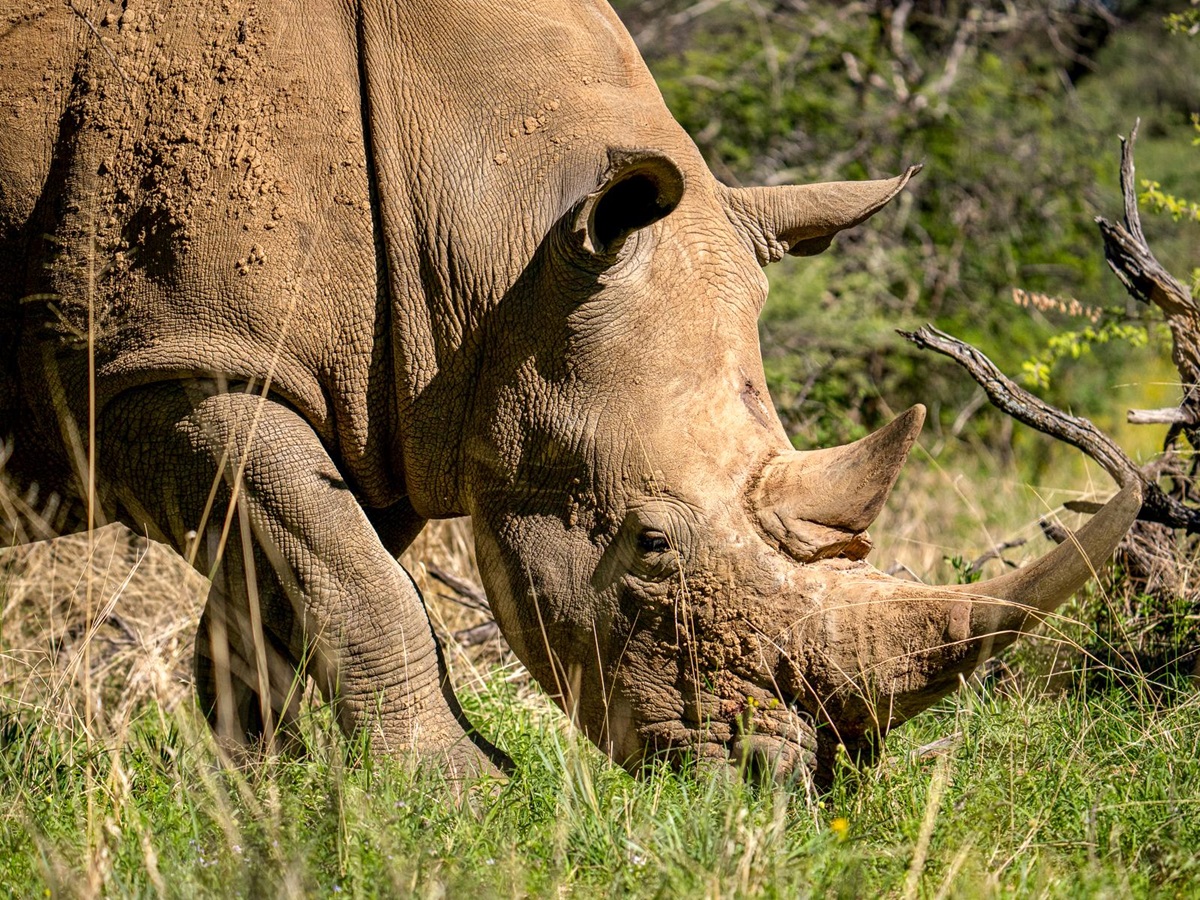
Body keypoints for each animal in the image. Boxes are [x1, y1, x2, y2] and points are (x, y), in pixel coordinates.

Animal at [0, 0, 1138, 784]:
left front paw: (263, 793)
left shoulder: (383, 408)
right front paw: (462, 795)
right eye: (650, 545)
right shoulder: (162, 364)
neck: (496, 235)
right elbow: (357, 582)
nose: (779, 785)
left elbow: (289, 585)